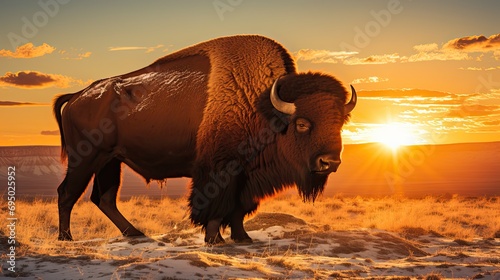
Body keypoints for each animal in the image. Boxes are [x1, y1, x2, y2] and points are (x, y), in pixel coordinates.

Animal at [54, 35, 356, 243]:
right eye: (302, 124)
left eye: (340, 122)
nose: (329, 162)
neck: (262, 106)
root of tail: (77, 96)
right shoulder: (220, 170)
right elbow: (216, 206)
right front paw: (215, 239)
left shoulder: (246, 175)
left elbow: (239, 208)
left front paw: (242, 238)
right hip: (86, 159)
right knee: (67, 193)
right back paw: (66, 238)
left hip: (111, 161)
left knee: (104, 198)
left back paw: (134, 233)